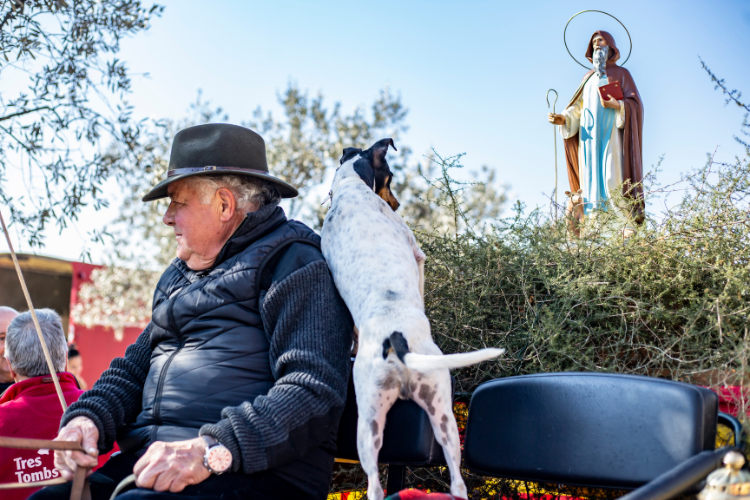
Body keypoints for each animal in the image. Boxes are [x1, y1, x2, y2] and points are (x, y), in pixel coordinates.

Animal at [322, 138, 506, 500]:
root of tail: (395, 336)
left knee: (401, 485)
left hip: (394, 423)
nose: (397, 203)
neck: (350, 189)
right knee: (422, 483)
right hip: (420, 415)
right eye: (391, 178)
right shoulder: (418, 253)